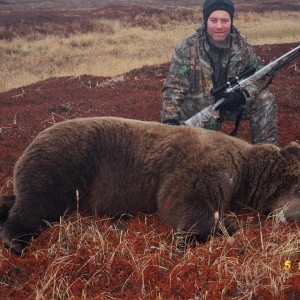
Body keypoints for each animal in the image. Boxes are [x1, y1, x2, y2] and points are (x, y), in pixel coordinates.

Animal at [0, 116, 300, 254]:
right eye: (298, 189)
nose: (294, 219)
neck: (245, 166)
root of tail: (32, 141)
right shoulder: (202, 163)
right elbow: (179, 198)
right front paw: (223, 227)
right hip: (64, 162)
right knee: (39, 201)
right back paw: (16, 241)